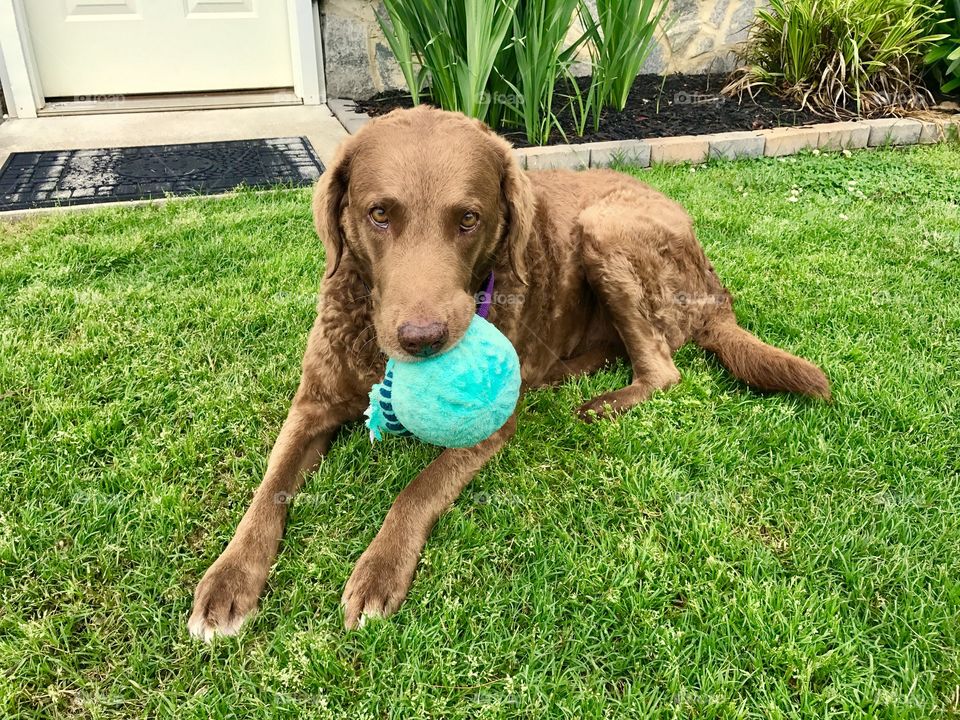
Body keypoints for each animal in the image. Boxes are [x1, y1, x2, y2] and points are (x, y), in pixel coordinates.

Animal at [186, 105, 824, 636]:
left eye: (468, 219)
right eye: (378, 215)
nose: (423, 340)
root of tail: (716, 286)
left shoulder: (489, 427)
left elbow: (416, 491)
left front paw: (378, 571)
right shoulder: (312, 403)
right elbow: (269, 488)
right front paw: (228, 579)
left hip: (605, 226)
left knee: (663, 370)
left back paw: (603, 401)